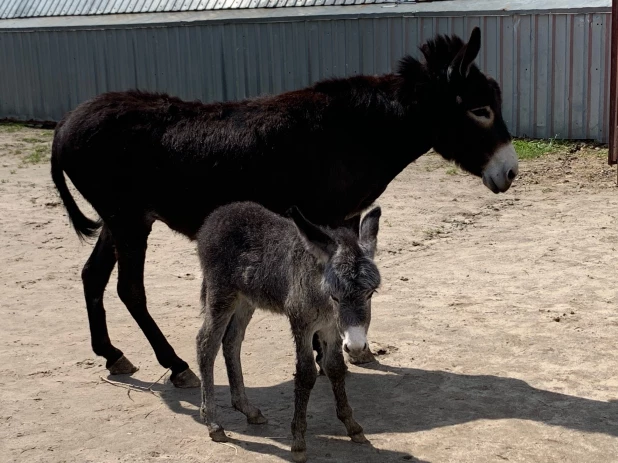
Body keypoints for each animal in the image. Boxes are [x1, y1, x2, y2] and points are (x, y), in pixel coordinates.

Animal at [197, 201, 380, 462]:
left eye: (370, 293)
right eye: (335, 296)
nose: (356, 346)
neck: (320, 291)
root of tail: (222, 212)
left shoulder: (331, 328)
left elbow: (335, 368)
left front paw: (351, 426)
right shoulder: (301, 324)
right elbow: (306, 374)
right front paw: (298, 441)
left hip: (246, 299)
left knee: (231, 341)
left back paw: (248, 410)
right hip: (221, 293)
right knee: (206, 343)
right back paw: (213, 423)